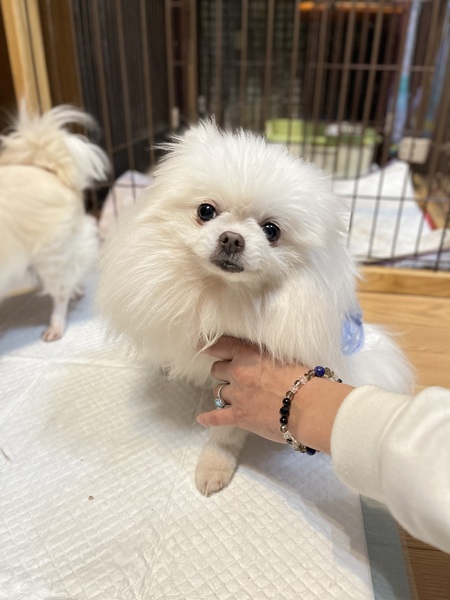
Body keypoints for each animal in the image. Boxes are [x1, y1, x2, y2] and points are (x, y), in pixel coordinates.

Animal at [97, 121, 414, 495]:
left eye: (271, 230)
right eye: (206, 211)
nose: (232, 238)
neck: (220, 293)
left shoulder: (236, 381)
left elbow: (226, 432)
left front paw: (214, 466)